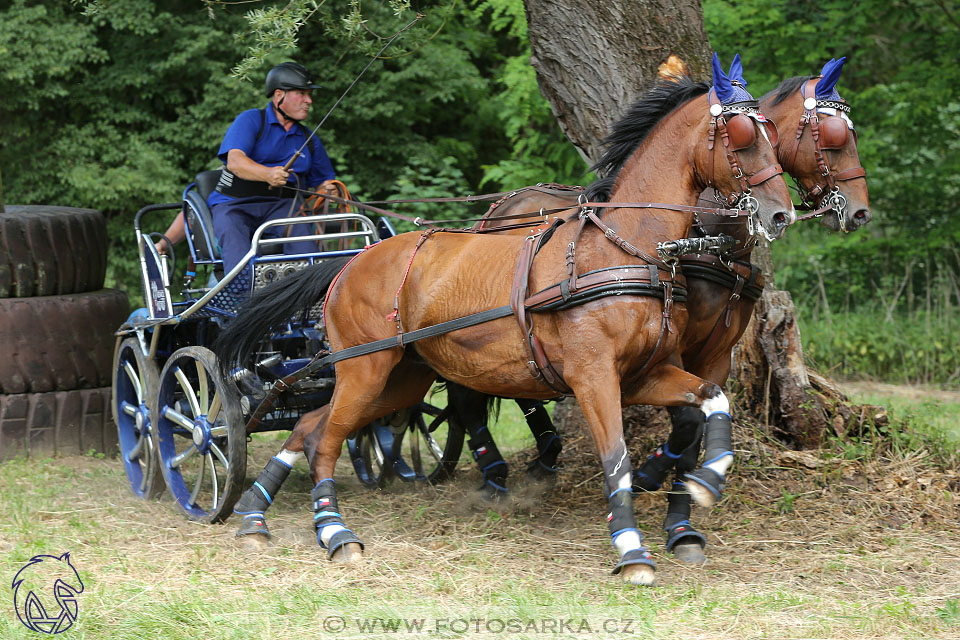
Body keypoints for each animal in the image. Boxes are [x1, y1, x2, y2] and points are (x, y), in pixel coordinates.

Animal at [219, 53, 796, 584]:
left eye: (773, 134)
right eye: (743, 135)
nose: (780, 214)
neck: (624, 249)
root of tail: (350, 260)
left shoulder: (643, 375)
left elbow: (711, 399)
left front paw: (707, 479)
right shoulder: (593, 377)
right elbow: (616, 457)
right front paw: (631, 548)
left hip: (400, 378)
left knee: (311, 427)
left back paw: (255, 517)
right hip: (365, 369)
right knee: (326, 439)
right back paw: (334, 531)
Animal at [458, 57, 872, 564]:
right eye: (832, 136)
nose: (859, 212)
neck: (709, 237)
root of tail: (499, 208)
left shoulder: (713, 356)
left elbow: (697, 425)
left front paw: (680, 522)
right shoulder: (672, 350)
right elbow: (685, 426)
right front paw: (651, 478)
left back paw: (540, 460)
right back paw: (495, 475)